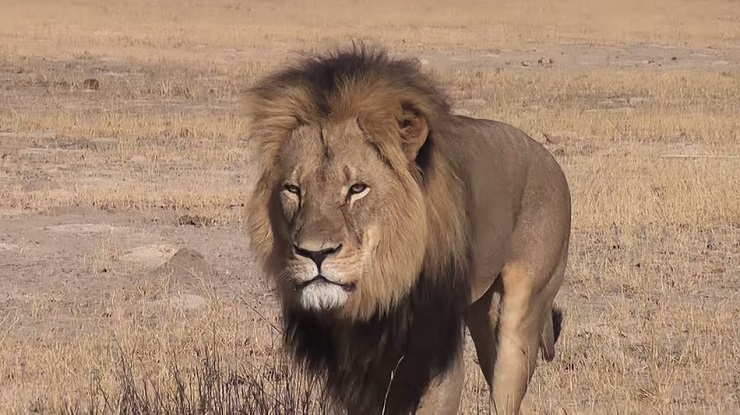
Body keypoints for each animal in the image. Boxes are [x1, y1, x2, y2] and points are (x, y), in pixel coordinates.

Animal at [243, 45, 571, 415]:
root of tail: (546, 155)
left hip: (527, 305)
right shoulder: (357, 376)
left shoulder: (436, 360)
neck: (380, 290)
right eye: (293, 190)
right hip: (481, 311)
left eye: (357, 189)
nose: (315, 253)